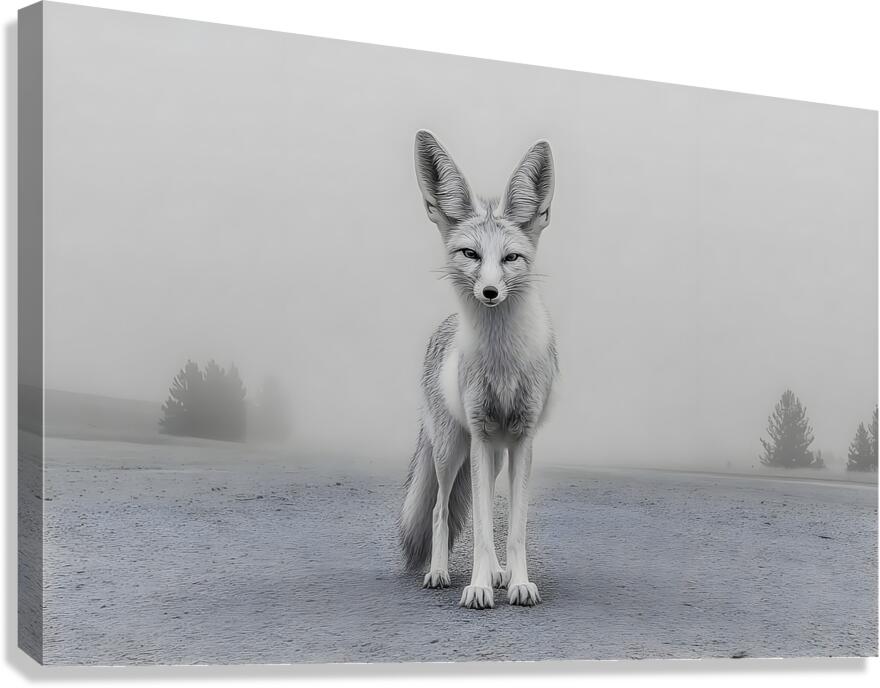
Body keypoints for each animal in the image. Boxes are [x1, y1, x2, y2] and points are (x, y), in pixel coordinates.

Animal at [399, 130, 558, 610]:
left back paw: (500, 573)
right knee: (439, 510)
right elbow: (483, 529)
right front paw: (478, 587)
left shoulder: (521, 438)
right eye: (470, 253)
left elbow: (514, 529)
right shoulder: (481, 431)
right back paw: (439, 572)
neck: (502, 360)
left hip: (494, 454)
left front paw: (519, 582)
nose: (489, 292)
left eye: (510, 258)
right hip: (454, 448)